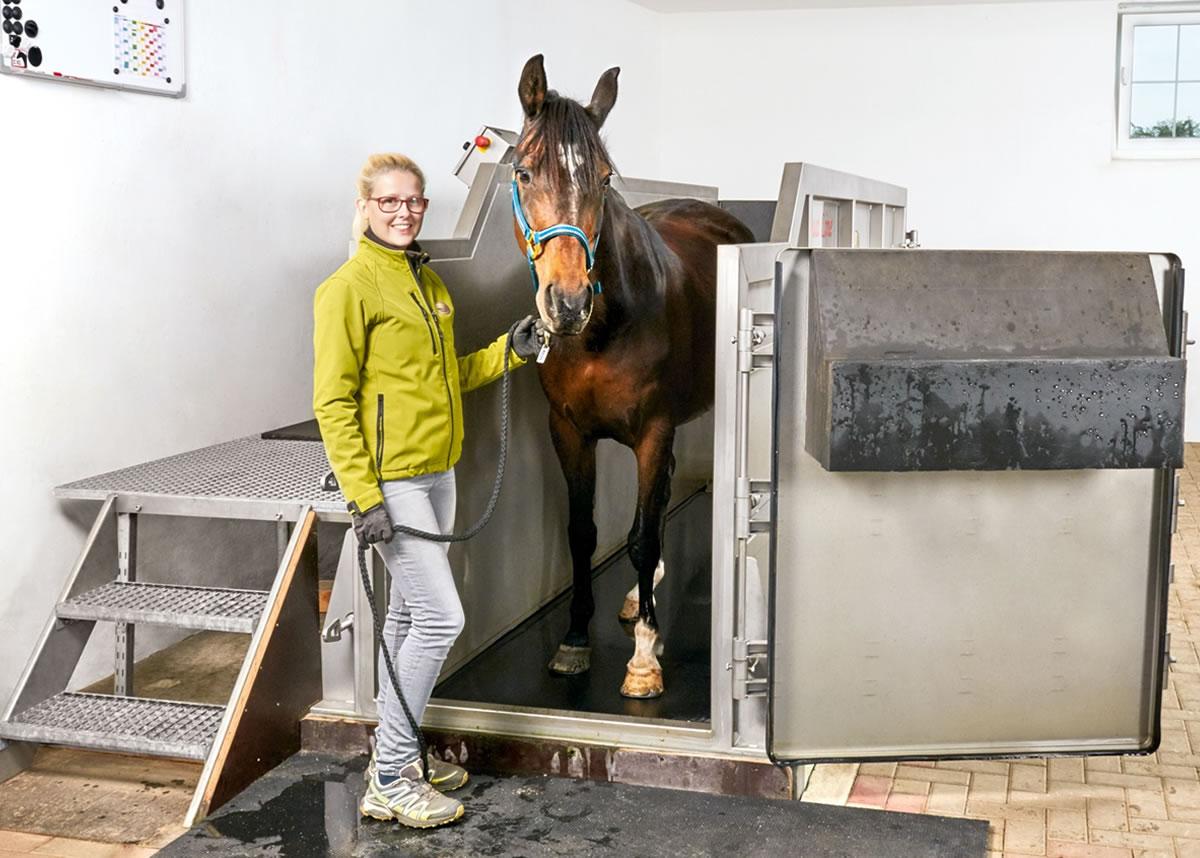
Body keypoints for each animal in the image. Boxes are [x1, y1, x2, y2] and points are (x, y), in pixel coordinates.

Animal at [513, 55, 753, 696]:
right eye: (523, 173)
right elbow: (583, 531)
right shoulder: (567, 431)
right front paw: (575, 639)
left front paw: (644, 657)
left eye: (604, 179)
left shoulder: (653, 431)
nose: (567, 303)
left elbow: (642, 537)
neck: (600, 332)